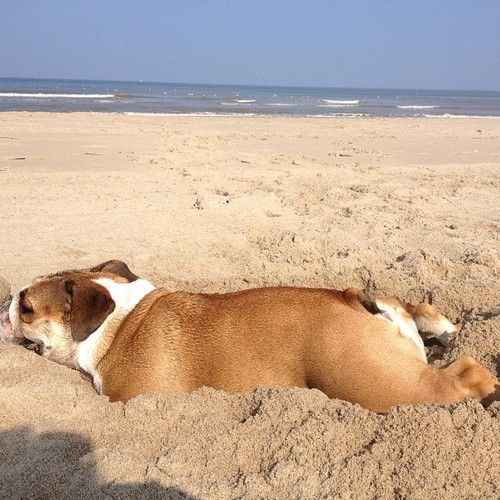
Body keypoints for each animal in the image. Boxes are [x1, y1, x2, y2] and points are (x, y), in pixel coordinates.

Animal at [0, 260, 498, 412]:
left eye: (25, 306)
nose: (5, 303)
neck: (118, 321)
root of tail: (353, 299)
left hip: (378, 385)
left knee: (466, 373)